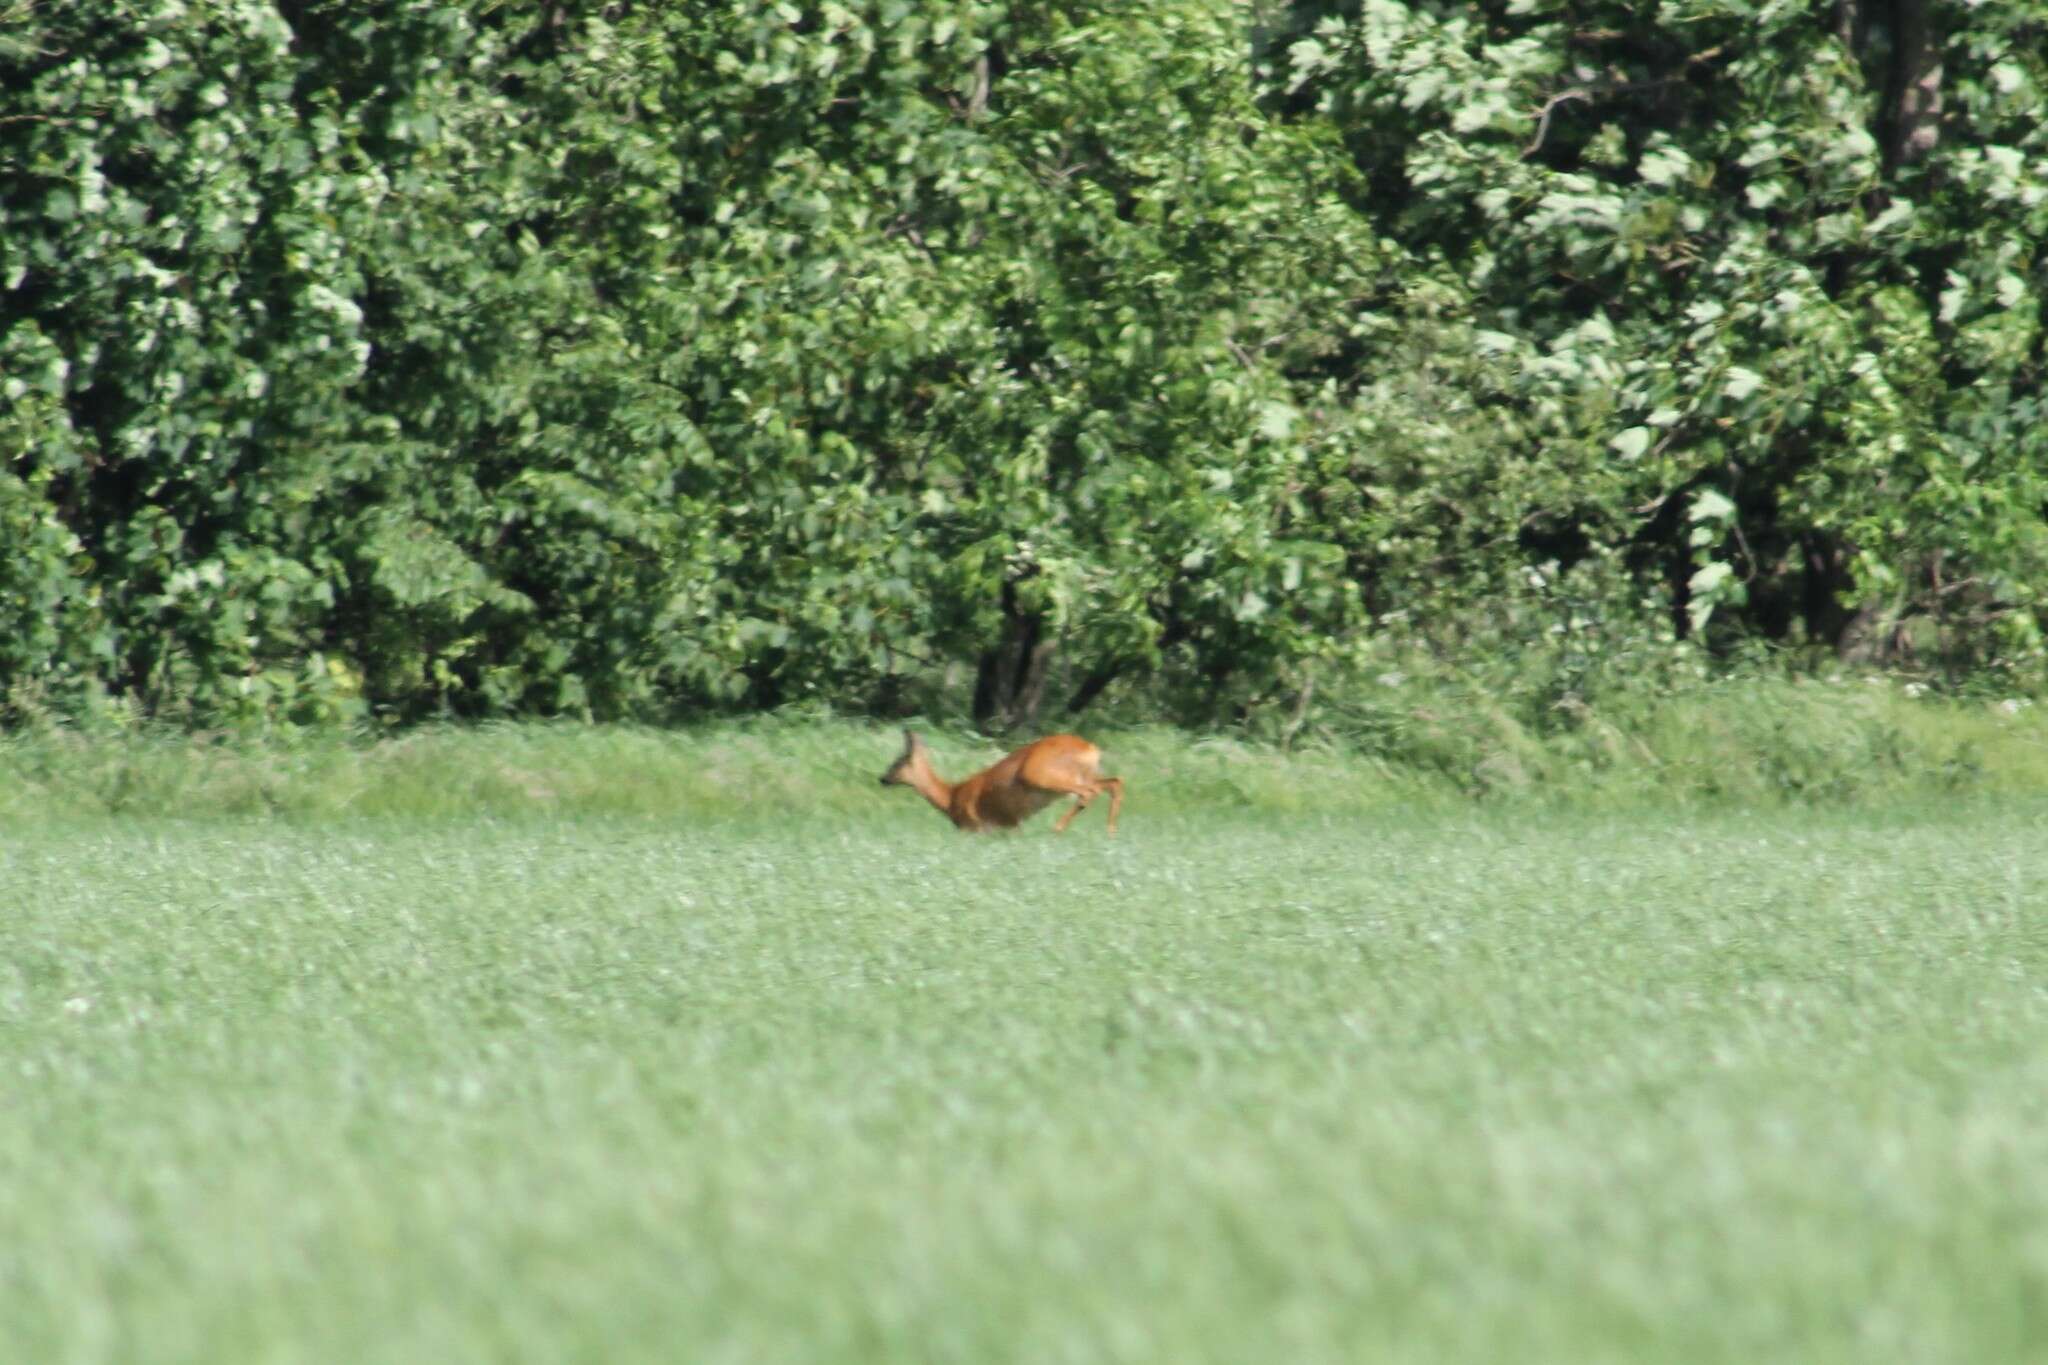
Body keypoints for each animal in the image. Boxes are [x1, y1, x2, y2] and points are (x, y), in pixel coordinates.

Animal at [876, 724, 1130, 834]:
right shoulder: (1010, 825)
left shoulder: (976, 827)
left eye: (897, 763)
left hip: (1042, 774)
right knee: (1114, 783)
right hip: (1086, 775)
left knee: (1089, 793)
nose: (882, 779)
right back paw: (1110, 832)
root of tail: (1091, 748)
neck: (951, 797)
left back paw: (1057, 828)